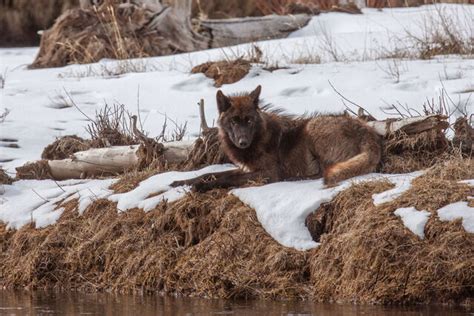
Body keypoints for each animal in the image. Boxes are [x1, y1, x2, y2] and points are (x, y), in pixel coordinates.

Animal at [170, 85, 382, 191]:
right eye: (233, 121)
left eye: (248, 121)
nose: (243, 142)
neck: (259, 138)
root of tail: (368, 132)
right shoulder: (246, 168)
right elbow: (209, 174)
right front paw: (180, 182)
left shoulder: (268, 173)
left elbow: (228, 179)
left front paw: (202, 187)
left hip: (312, 127)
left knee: (322, 171)